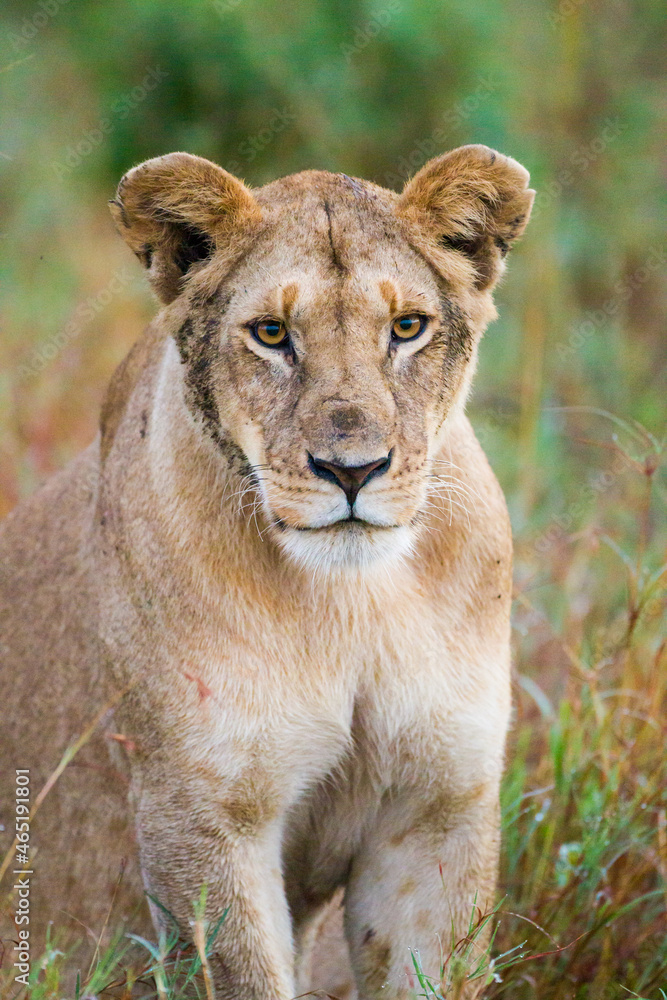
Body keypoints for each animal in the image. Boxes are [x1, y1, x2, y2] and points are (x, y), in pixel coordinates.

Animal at [0, 145, 533, 999]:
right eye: (272, 334)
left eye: (406, 328)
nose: (352, 470)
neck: (353, 601)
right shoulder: (200, 817)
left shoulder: (437, 806)